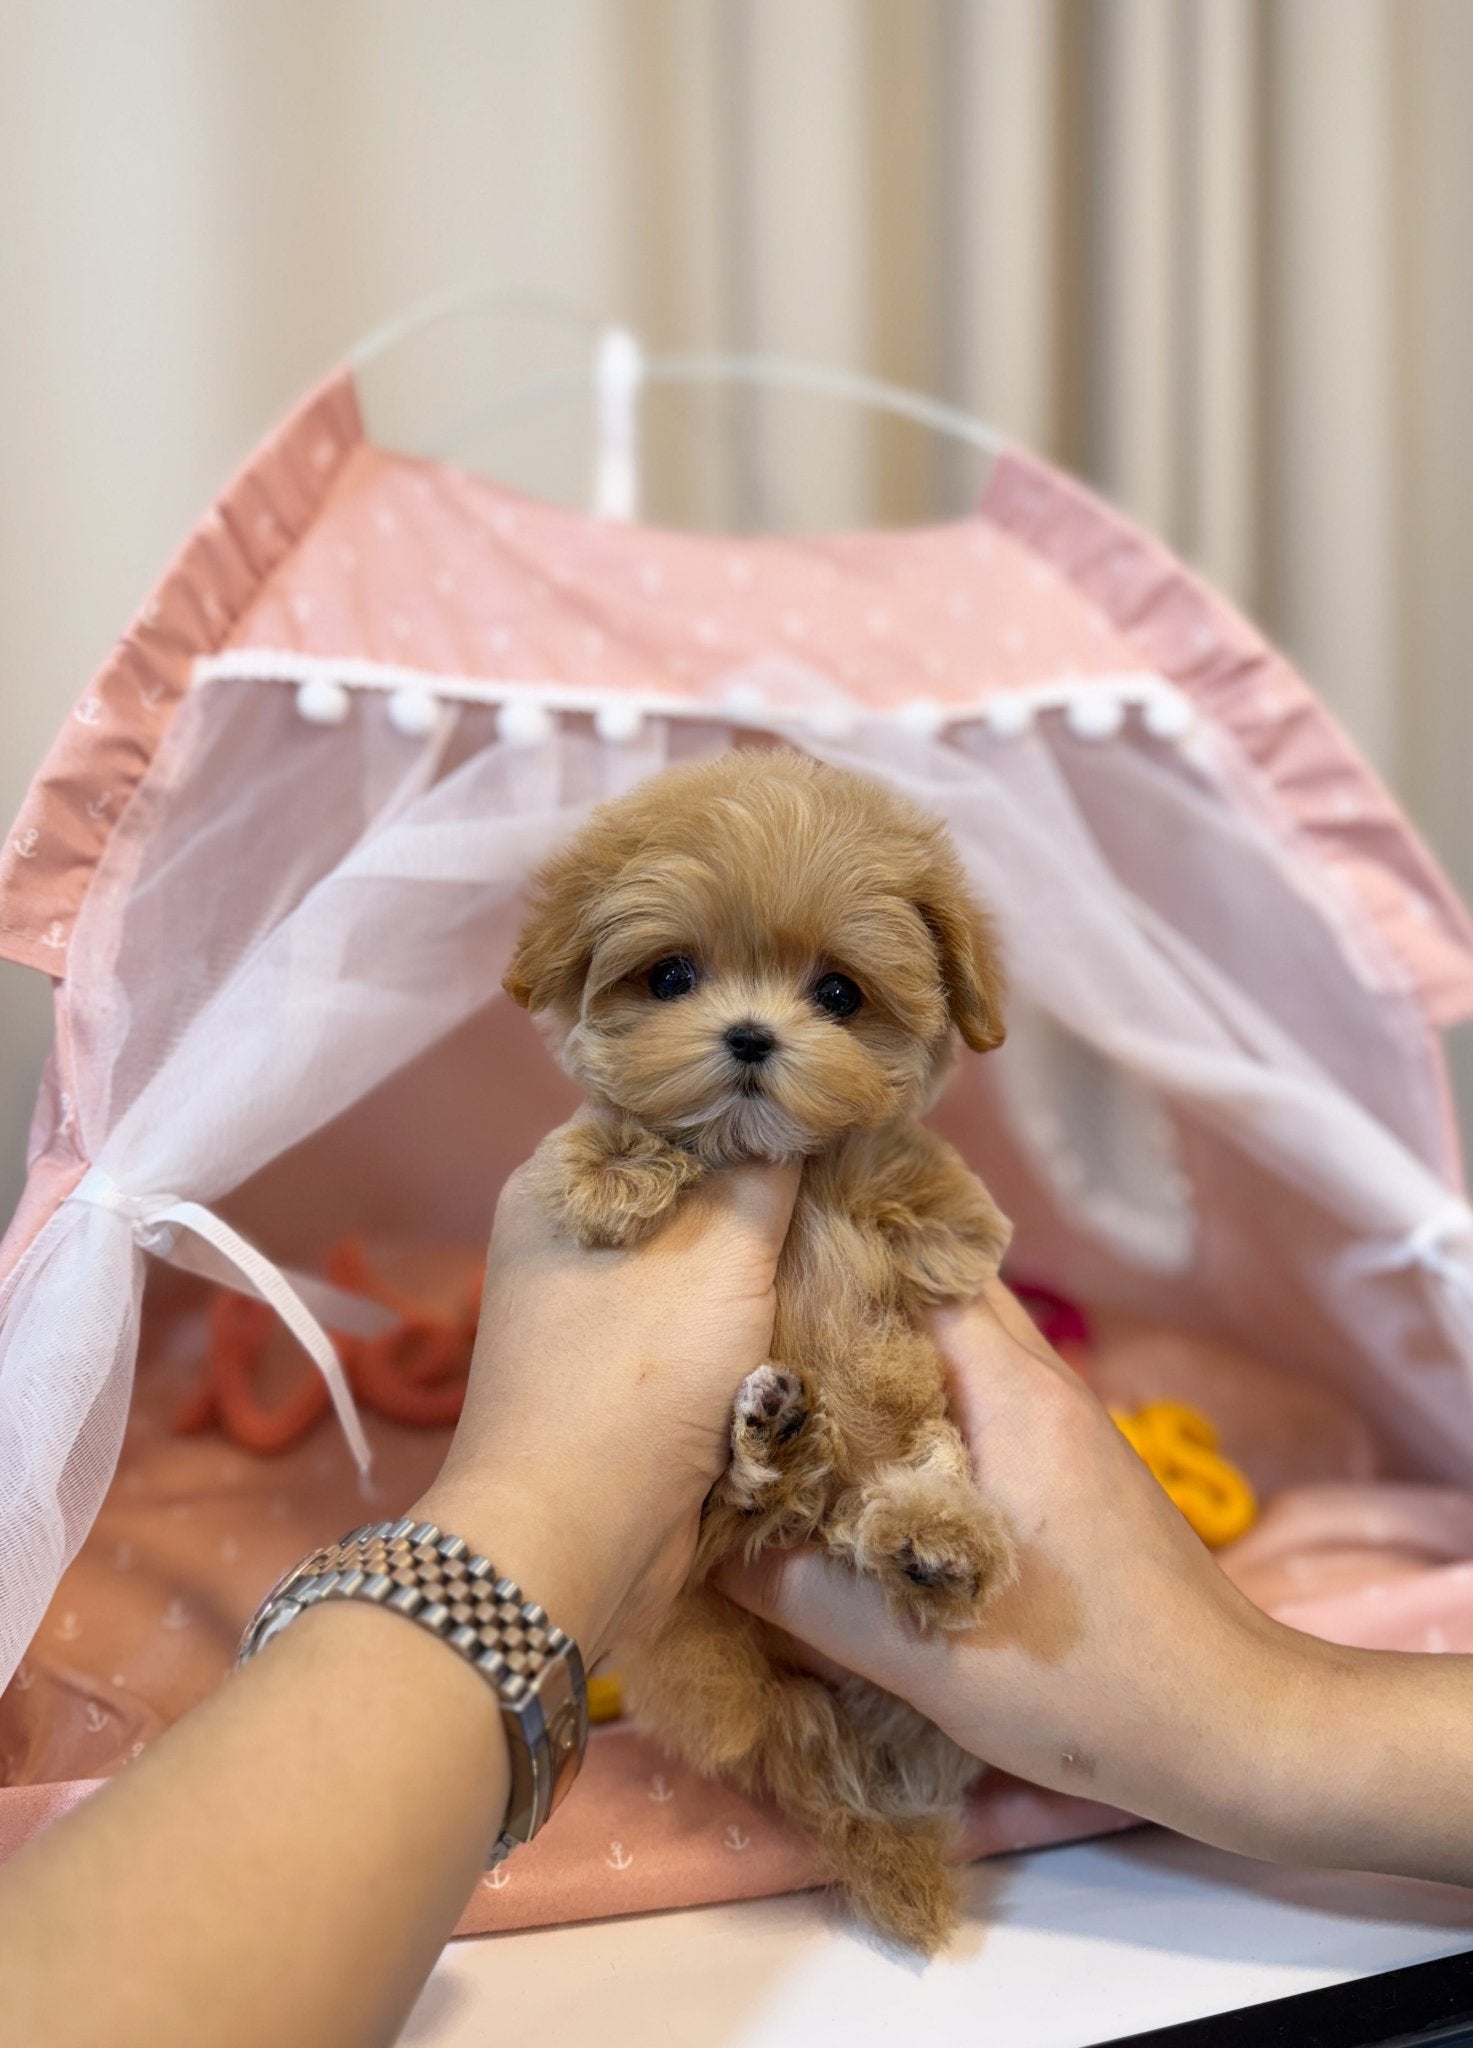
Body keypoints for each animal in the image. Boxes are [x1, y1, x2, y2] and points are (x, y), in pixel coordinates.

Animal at [508, 753, 1016, 1949]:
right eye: (671, 975)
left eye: (837, 994)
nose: (748, 1036)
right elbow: (612, 1127)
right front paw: (608, 1165)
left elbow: (897, 1155)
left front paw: (955, 1229)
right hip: (709, 1623)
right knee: (754, 1519)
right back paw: (779, 1448)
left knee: (906, 1474)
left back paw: (934, 1540)